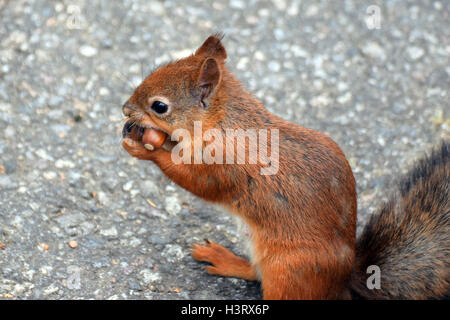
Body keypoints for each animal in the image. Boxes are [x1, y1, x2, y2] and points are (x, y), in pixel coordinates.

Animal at [121, 33, 448, 298]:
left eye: (159, 106)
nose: (125, 109)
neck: (224, 121)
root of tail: (343, 279)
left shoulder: (225, 164)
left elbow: (196, 181)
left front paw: (147, 149)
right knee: (254, 272)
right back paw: (223, 258)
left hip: (288, 269)